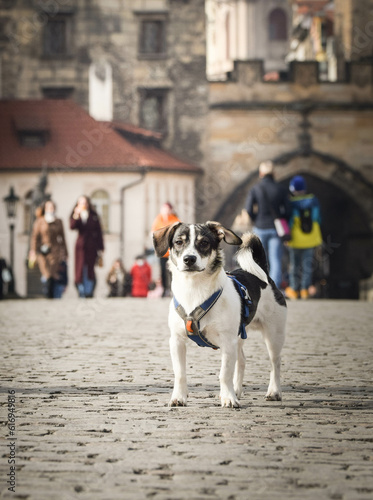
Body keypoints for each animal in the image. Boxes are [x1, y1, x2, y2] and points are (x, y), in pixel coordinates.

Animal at [153, 222, 286, 406]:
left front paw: (228, 398)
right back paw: (237, 390)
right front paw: (179, 397)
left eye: (204, 243)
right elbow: (180, 374)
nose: (189, 259)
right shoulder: (177, 341)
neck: (194, 289)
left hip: (273, 335)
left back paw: (273, 391)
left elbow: (225, 374)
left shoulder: (227, 341)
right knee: (242, 360)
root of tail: (264, 274)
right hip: (239, 335)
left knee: (275, 363)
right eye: (179, 242)